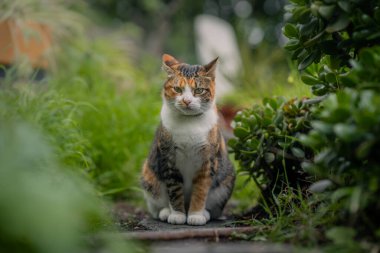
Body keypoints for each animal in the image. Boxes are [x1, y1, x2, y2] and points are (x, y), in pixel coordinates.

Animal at [140, 53, 235, 225]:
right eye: (177, 89)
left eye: (199, 90)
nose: (186, 100)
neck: (189, 123)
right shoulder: (168, 158)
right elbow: (174, 189)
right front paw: (177, 215)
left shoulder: (208, 159)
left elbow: (201, 189)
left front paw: (196, 215)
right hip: (148, 174)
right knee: (156, 205)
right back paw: (165, 212)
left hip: (227, 179)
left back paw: (205, 213)